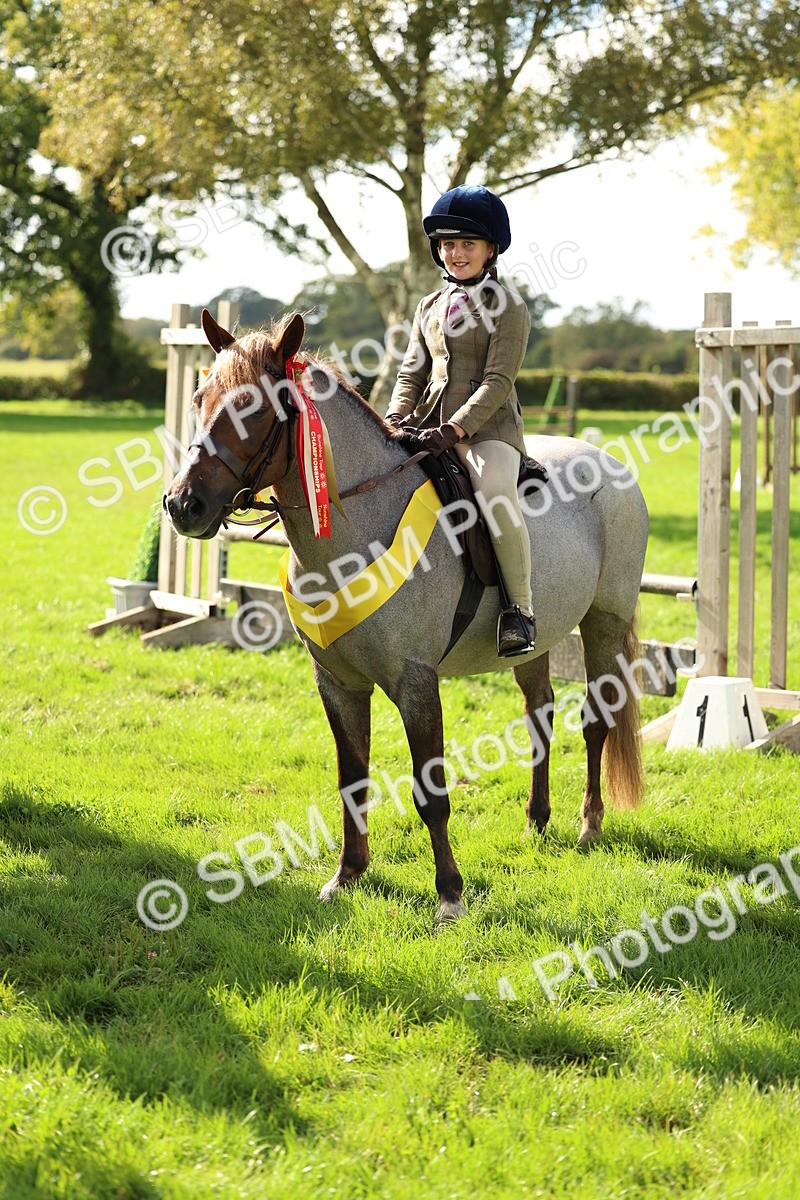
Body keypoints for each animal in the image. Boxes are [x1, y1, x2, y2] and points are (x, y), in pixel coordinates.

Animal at [164, 309, 649, 923]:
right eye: (198, 397)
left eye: (252, 407)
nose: (182, 505)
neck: (355, 529)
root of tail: (606, 462)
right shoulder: (338, 682)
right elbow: (352, 779)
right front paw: (347, 876)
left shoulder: (416, 682)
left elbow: (431, 791)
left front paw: (449, 894)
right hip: (535, 644)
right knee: (540, 712)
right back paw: (537, 821)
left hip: (605, 622)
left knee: (595, 721)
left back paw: (589, 825)